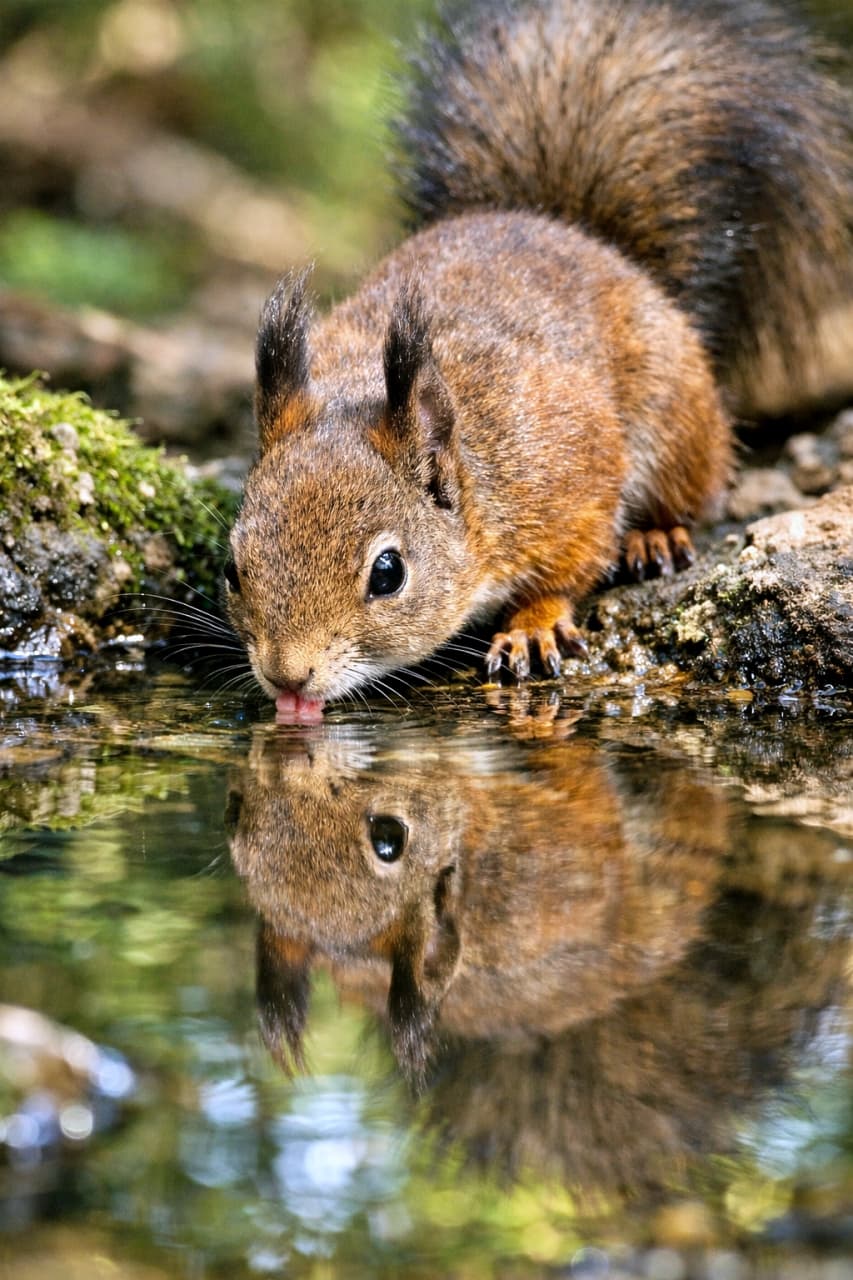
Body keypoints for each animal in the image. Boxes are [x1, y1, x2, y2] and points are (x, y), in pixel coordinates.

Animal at [225, 0, 853, 715]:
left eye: (388, 573)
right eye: (232, 568)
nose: (287, 678)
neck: (477, 480)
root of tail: (572, 231)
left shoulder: (568, 479)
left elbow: (570, 566)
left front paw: (533, 624)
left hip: (677, 419)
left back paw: (657, 534)